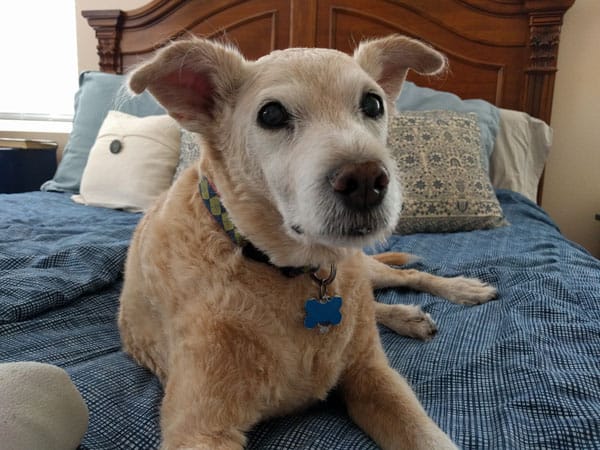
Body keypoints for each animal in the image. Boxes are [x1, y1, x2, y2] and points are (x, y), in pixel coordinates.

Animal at [122, 36, 496, 450]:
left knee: (402, 280)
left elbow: (427, 436)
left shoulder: (374, 377)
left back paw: (458, 291)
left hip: (366, 269)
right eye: (271, 114)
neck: (291, 269)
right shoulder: (201, 429)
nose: (366, 179)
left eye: (373, 104)